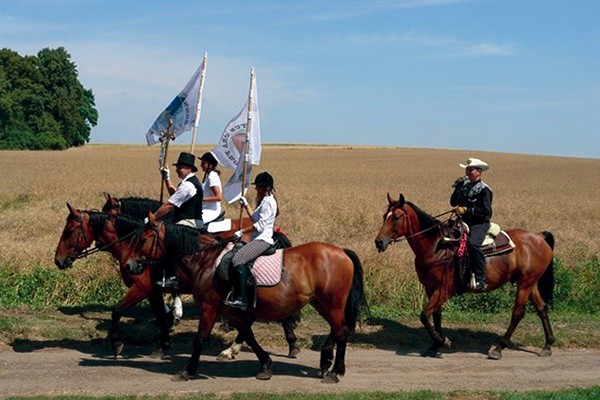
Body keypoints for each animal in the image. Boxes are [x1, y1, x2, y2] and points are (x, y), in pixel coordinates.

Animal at [54, 206, 300, 360]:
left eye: (68, 231)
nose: (58, 260)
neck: (132, 244)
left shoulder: (141, 288)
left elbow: (117, 312)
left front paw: (116, 345)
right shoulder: (153, 291)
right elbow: (161, 316)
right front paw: (164, 344)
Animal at [124, 212, 366, 384]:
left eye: (143, 239)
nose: (130, 266)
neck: (206, 259)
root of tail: (342, 251)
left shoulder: (210, 307)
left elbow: (200, 339)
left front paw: (187, 371)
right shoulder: (229, 311)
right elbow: (248, 335)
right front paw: (265, 366)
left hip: (332, 303)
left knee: (341, 332)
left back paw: (334, 372)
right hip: (321, 303)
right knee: (338, 329)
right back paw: (326, 362)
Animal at [372, 194, 556, 360]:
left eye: (396, 218)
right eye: (384, 216)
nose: (379, 242)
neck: (437, 247)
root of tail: (538, 236)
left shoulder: (445, 290)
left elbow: (424, 315)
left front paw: (442, 341)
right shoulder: (430, 288)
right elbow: (435, 315)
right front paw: (435, 345)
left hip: (525, 284)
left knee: (518, 313)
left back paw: (498, 348)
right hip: (530, 282)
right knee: (541, 308)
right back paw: (547, 345)